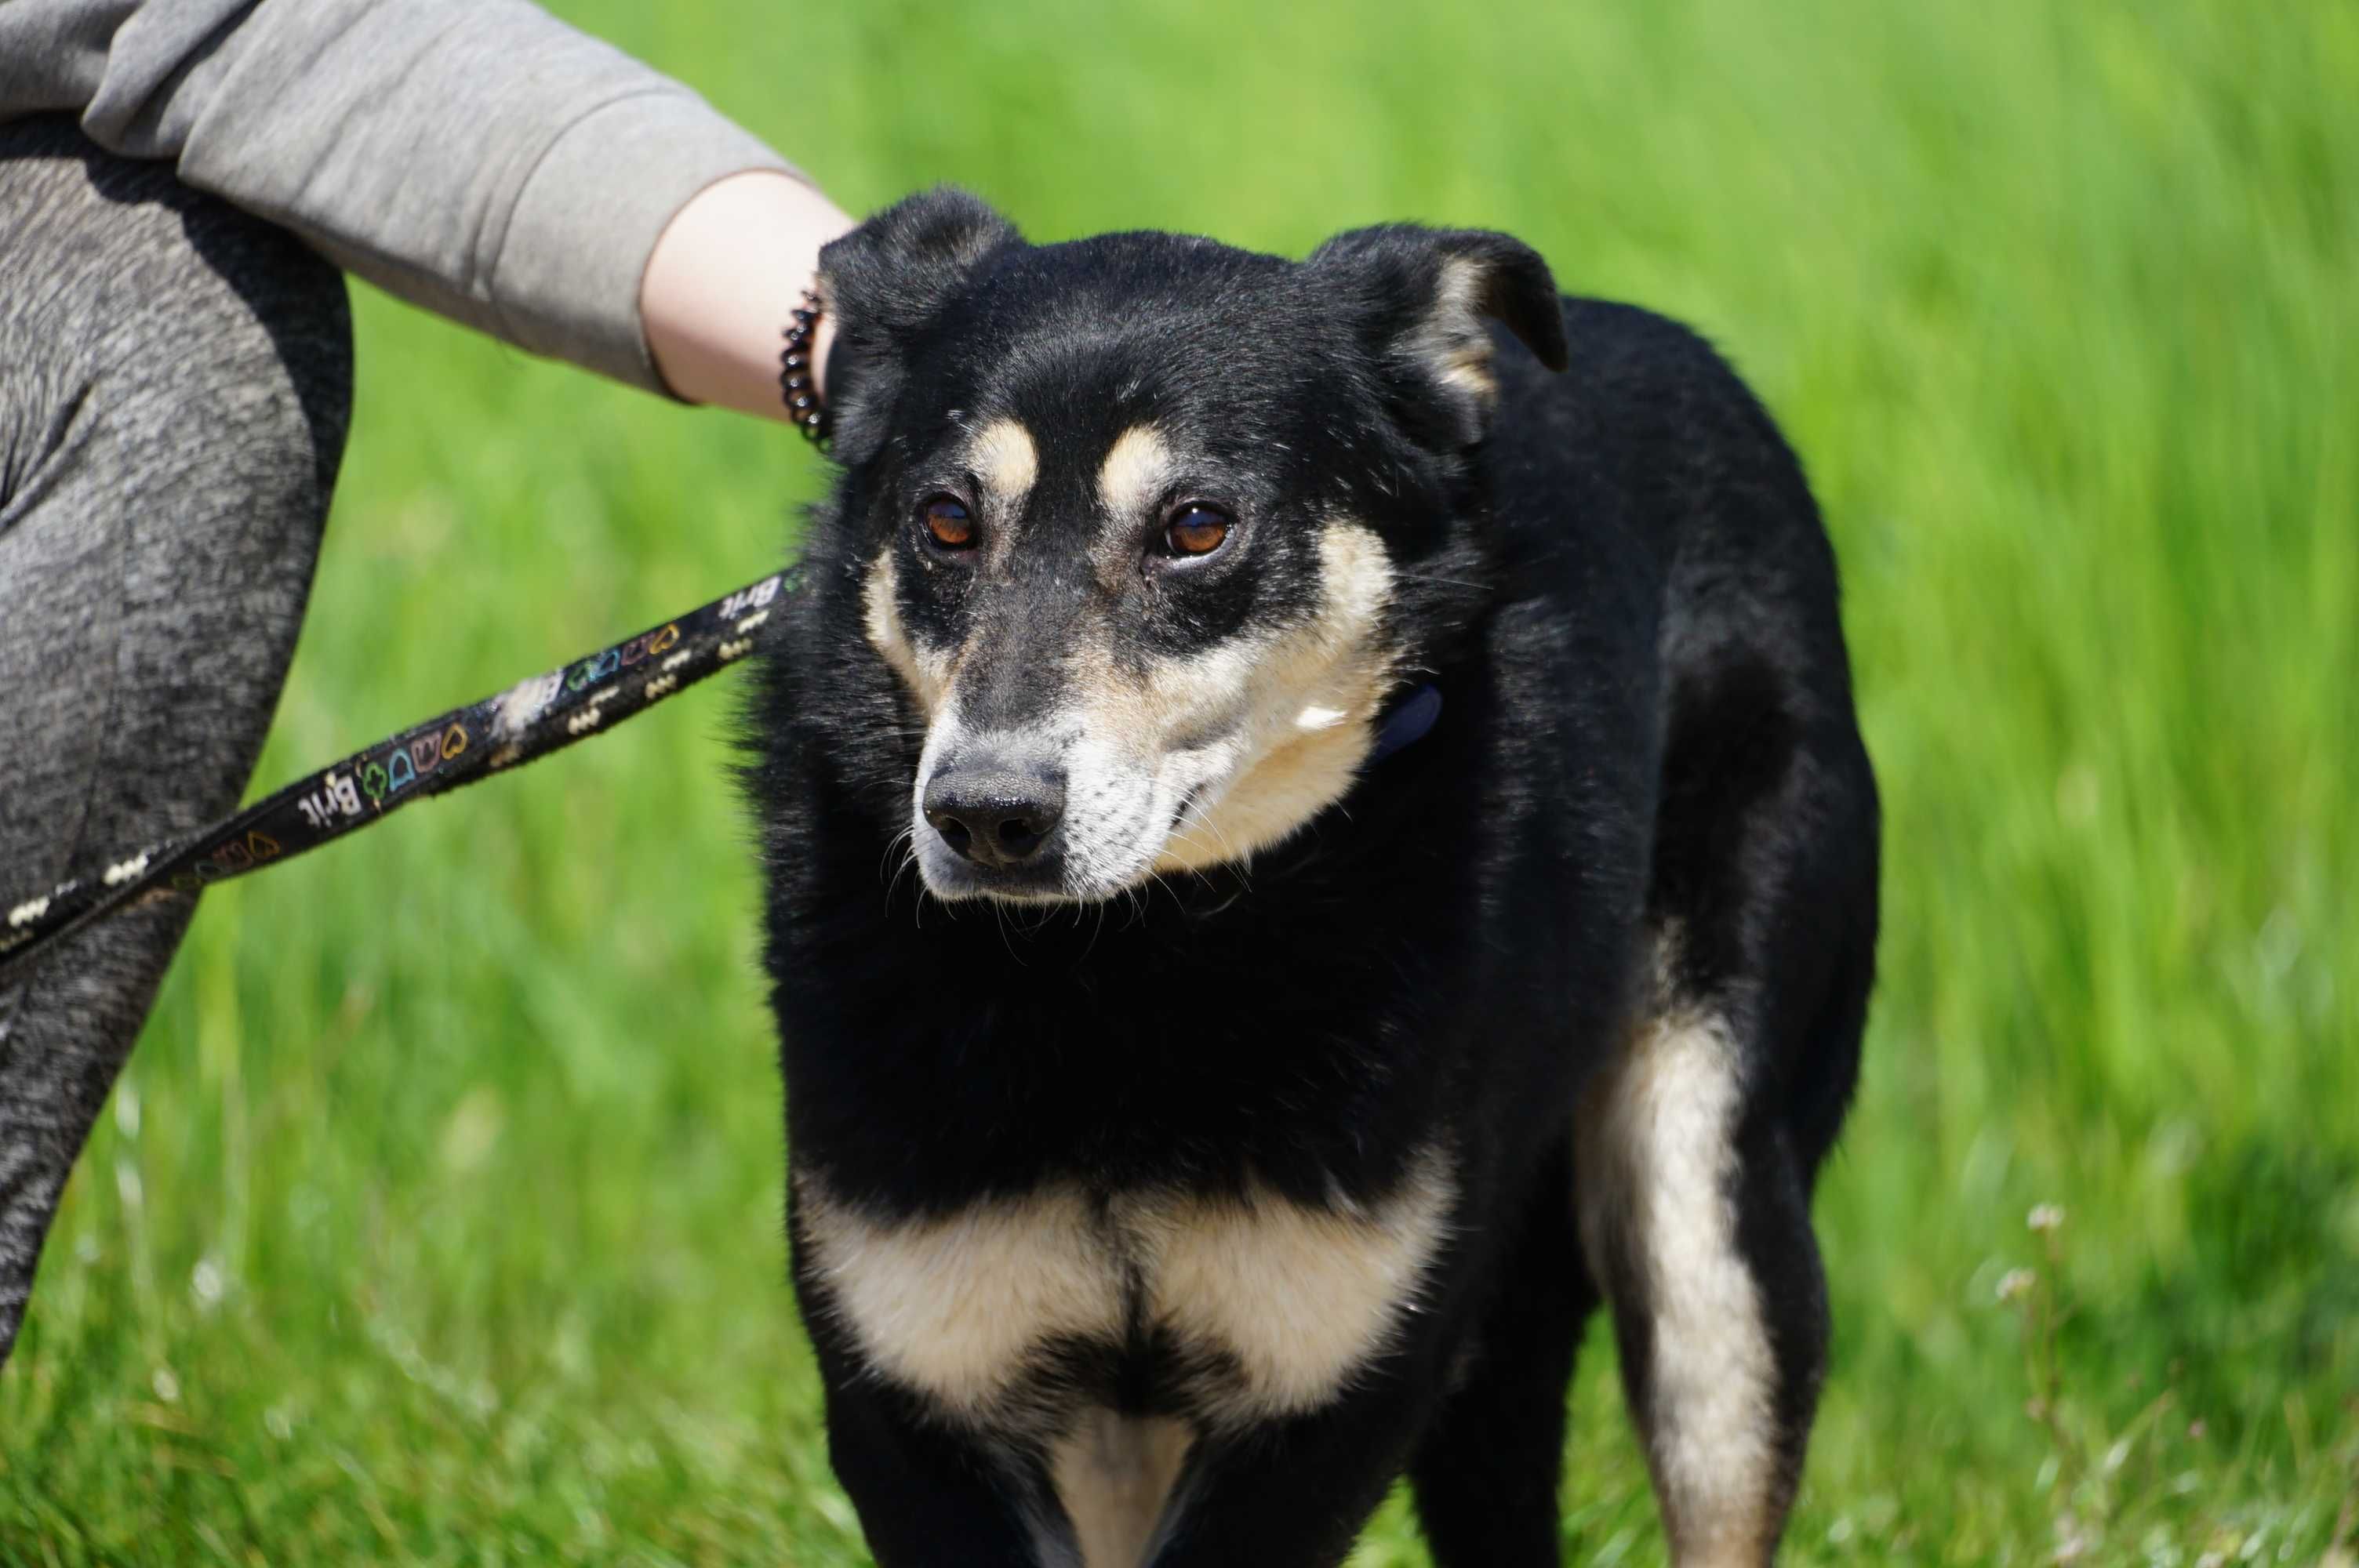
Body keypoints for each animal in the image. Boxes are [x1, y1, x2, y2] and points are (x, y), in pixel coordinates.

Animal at [745, 190, 1868, 1555]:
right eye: (946, 521)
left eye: (1196, 526)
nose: (985, 816)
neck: (1132, 972)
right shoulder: (924, 1401)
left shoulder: (1328, 1400)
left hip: (1711, 1196)